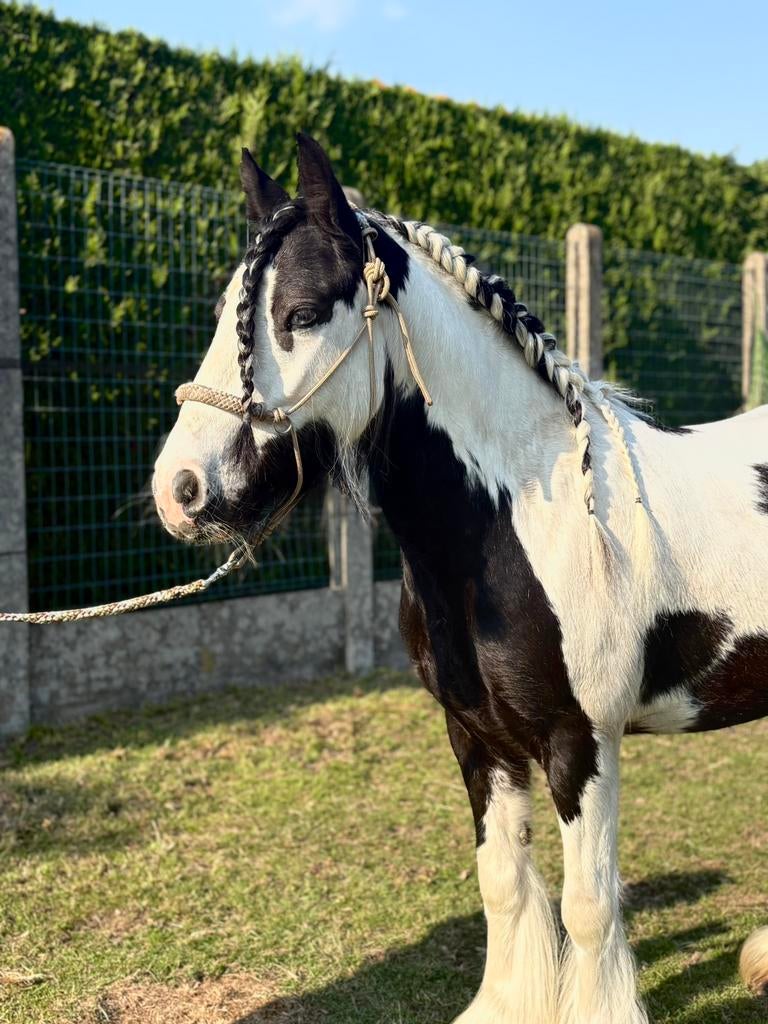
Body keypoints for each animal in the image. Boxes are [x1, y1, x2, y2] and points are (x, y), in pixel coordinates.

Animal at [152, 132, 768, 1023]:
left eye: (299, 314)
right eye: (222, 313)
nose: (181, 491)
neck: (522, 517)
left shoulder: (580, 743)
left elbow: (588, 907)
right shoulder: (477, 740)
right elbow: (503, 885)